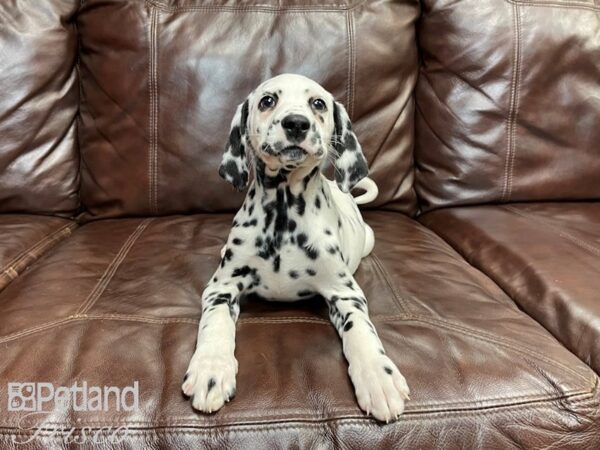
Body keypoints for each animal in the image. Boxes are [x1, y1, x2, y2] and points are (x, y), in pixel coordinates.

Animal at [182, 74, 408, 422]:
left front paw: (378, 377)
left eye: (318, 103)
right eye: (267, 101)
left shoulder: (345, 293)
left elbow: (362, 329)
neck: (283, 213)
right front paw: (211, 368)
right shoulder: (221, 287)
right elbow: (214, 323)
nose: (296, 123)